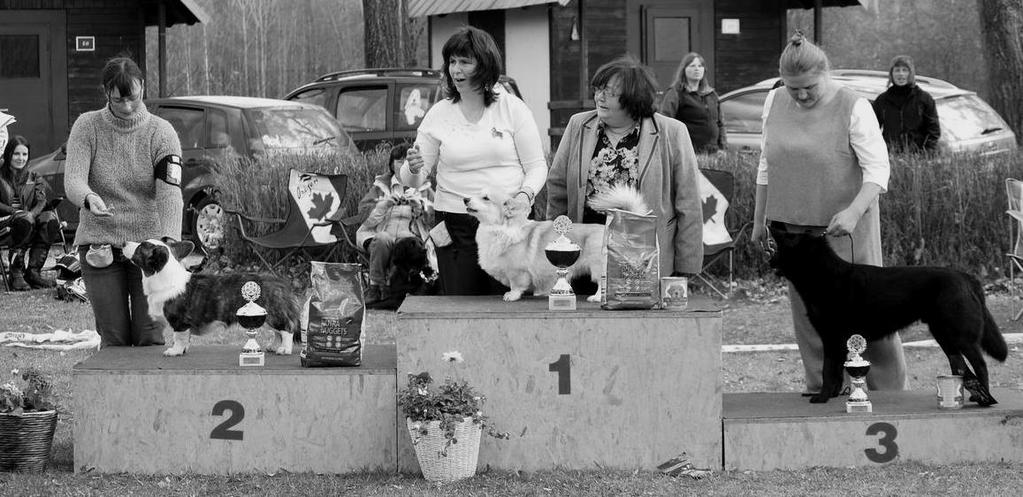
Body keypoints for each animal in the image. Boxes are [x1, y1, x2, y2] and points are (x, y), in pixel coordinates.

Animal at [123, 239, 298, 355]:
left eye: (140, 247)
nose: (123, 243)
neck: (165, 278)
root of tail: (280, 283)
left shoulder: (179, 321)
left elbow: (178, 337)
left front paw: (174, 351)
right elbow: (185, 338)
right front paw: (183, 349)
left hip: (271, 314)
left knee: (286, 328)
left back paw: (284, 349)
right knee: (277, 332)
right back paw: (273, 346)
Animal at [464, 186, 646, 302]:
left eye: (485, 198)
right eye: (476, 194)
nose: (465, 199)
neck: (501, 227)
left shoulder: (517, 271)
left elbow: (516, 285)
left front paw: (511, 296)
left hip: (597, 265)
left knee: (602, 282)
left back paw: (596, 298)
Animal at [769, 227, 1006, 404]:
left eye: (790, 236)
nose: (773, 224)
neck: (823, 275)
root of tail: (967, 278)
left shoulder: (832, 337)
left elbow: (828, 370)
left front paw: (822, 397)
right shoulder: (836, 341)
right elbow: (835, 371)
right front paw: (833, 394)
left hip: (958, 334)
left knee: (980, 363)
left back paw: (983, 397)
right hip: (944, 335)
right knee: (960, 364)